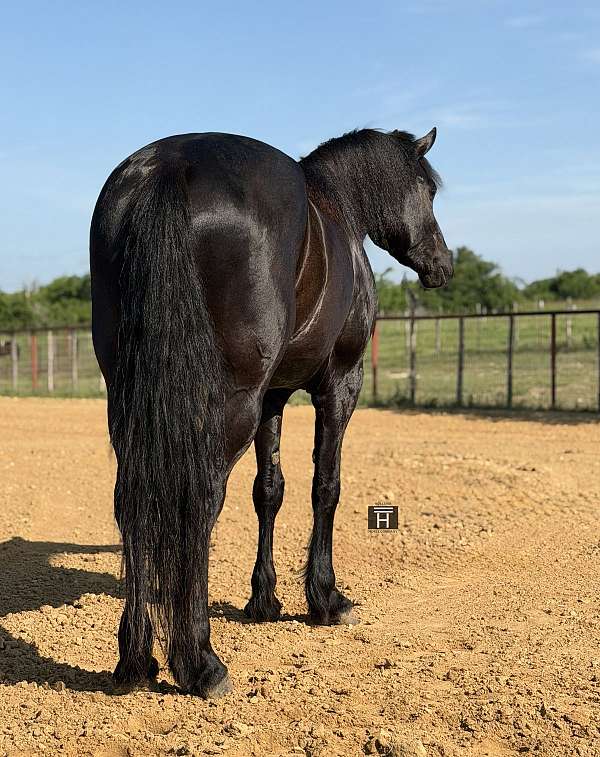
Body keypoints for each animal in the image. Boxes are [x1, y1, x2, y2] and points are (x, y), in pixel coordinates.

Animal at [89, 126, 453, 698]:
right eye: (430, 190)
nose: (444, 263)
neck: (337, 208)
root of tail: (168, 167)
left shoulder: (274, 397)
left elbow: (269, 491)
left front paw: (264, 600)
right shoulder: (339, 384)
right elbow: (325, 486)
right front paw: (326, 599)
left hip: (132, 401)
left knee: (135, 501)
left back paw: (135, 660)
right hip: (230, 402)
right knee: (200, 501)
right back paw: (200, 661)